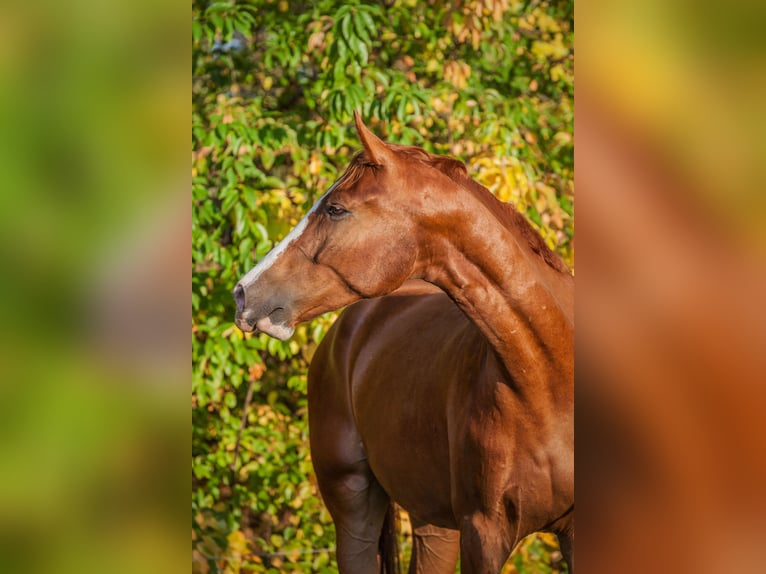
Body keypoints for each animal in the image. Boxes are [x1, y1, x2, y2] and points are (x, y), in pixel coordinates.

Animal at [233, 112, 574, 573]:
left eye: (335, 208)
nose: (243, 293)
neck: (549, 376)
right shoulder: (484, 532)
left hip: (435, 522)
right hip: (353, 505)